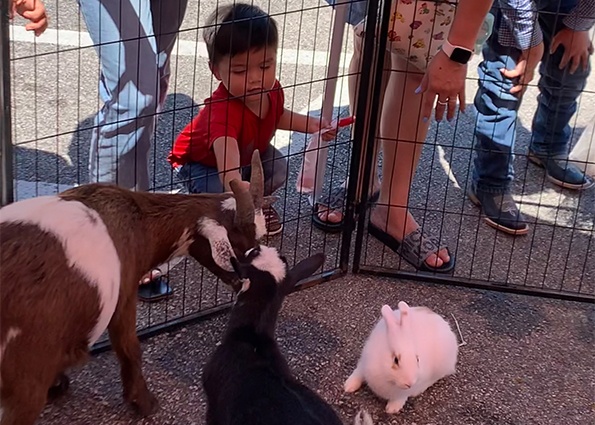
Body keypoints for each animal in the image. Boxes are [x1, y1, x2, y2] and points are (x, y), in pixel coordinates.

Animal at [0, 151, 268, 422]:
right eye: (238, 246)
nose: (247, 285)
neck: (138, 221)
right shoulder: (125, 294)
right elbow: (129, 346)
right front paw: (144, 402)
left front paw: (58, 383)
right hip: (24, 385)